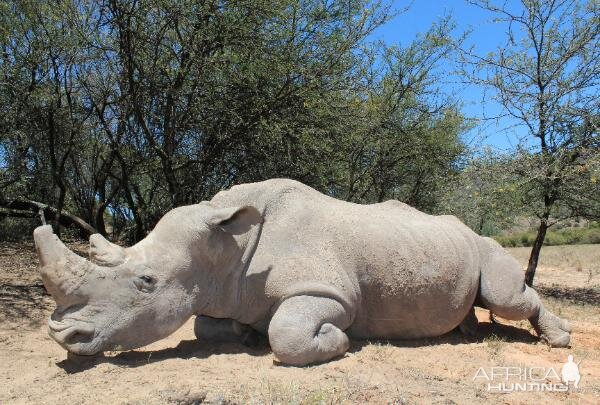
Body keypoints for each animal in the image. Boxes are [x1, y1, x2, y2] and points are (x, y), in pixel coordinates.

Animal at [34, 178, 572, 364]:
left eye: (146, 282)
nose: (64, 337)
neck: (227, 244)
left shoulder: (330, 293)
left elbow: (289, 333)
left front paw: (336, 341)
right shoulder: (222, 292)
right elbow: (206, 325)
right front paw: (245, 335)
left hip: (484, 244)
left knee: (506, 296)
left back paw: (559, 339)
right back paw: (466, 334)